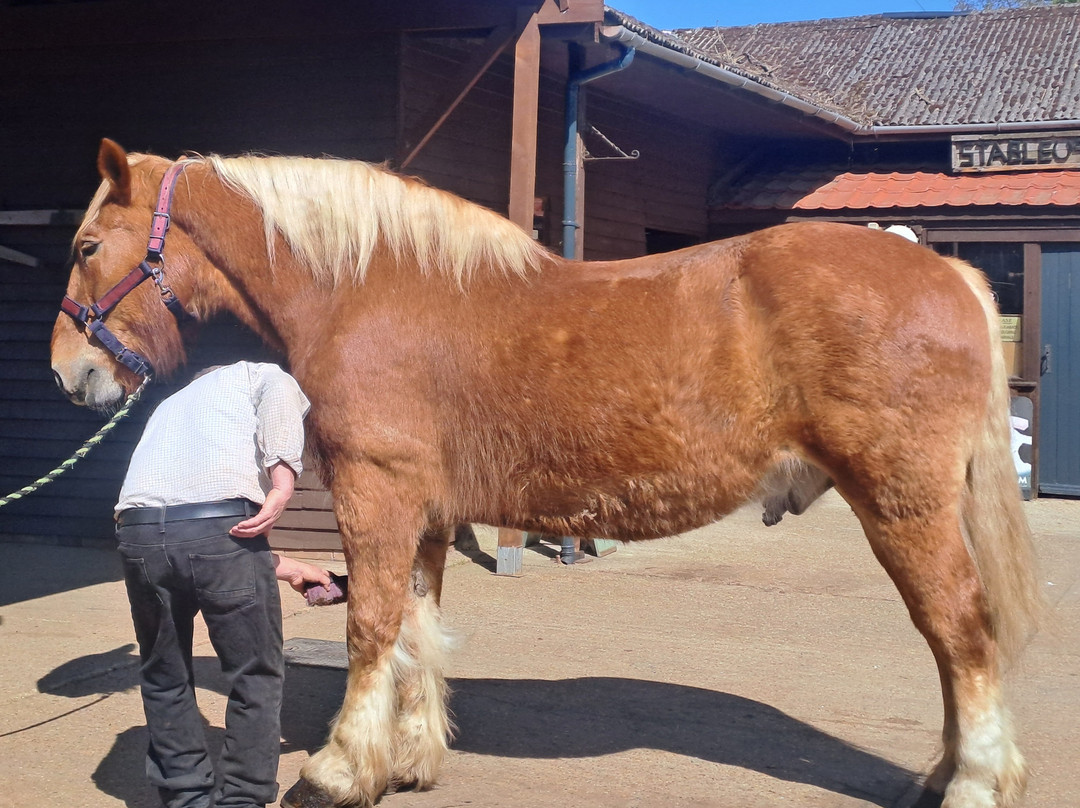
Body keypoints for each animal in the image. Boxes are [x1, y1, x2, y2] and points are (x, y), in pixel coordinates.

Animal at [51, 139, 1042, 808]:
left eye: (88, 246)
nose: (71, 374)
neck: (367, 288)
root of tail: (947, 273)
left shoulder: (377, 492)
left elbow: (371, 624)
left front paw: (337, 769)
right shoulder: (425, 509)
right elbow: (417, 624)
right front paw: (408, 758)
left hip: (903, 505)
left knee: (960, 631)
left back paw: (974, 783)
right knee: (953, 642)